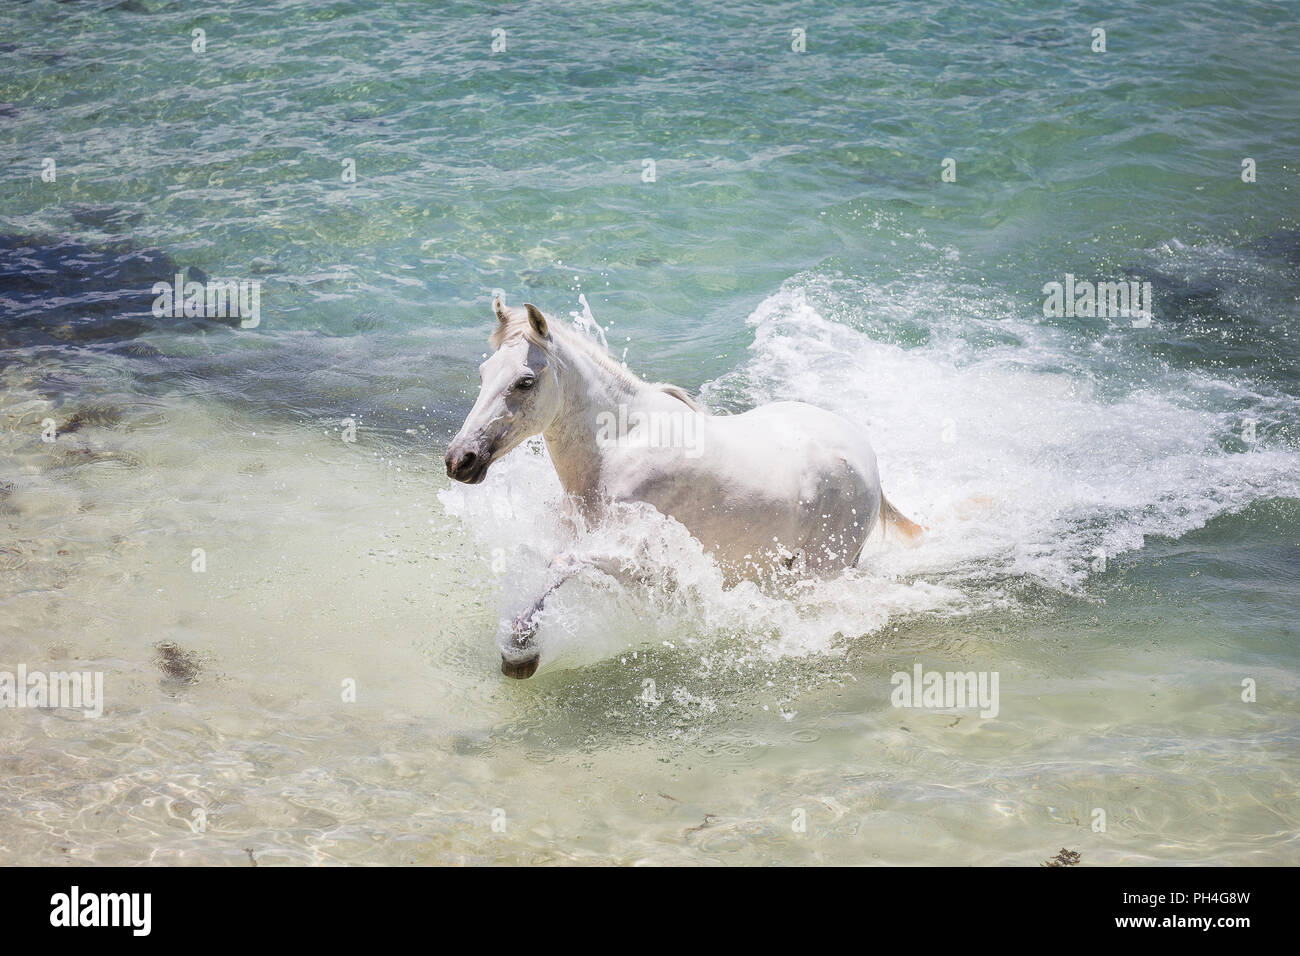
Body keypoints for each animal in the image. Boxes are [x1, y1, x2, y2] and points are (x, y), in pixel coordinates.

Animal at [449, 299, 925, 681]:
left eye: (525, 381)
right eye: (483, 373)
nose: (460, 460)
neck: (619, 444)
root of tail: (868, 458)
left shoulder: (637, 554)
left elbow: (561, 563)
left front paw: (520, 652)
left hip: (822, 568)